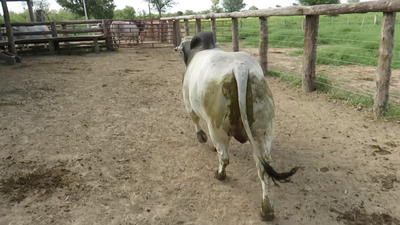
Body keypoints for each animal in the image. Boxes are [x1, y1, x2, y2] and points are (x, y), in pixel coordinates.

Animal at [173, 31, 298, 221]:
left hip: (218, 129)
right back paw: (267, 210)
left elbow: (196, 123)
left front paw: (202, 138)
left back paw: (220, 175)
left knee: (224, 157)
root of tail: (240, 68)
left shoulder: (189, 105)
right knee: (264, 169)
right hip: (263, 134)